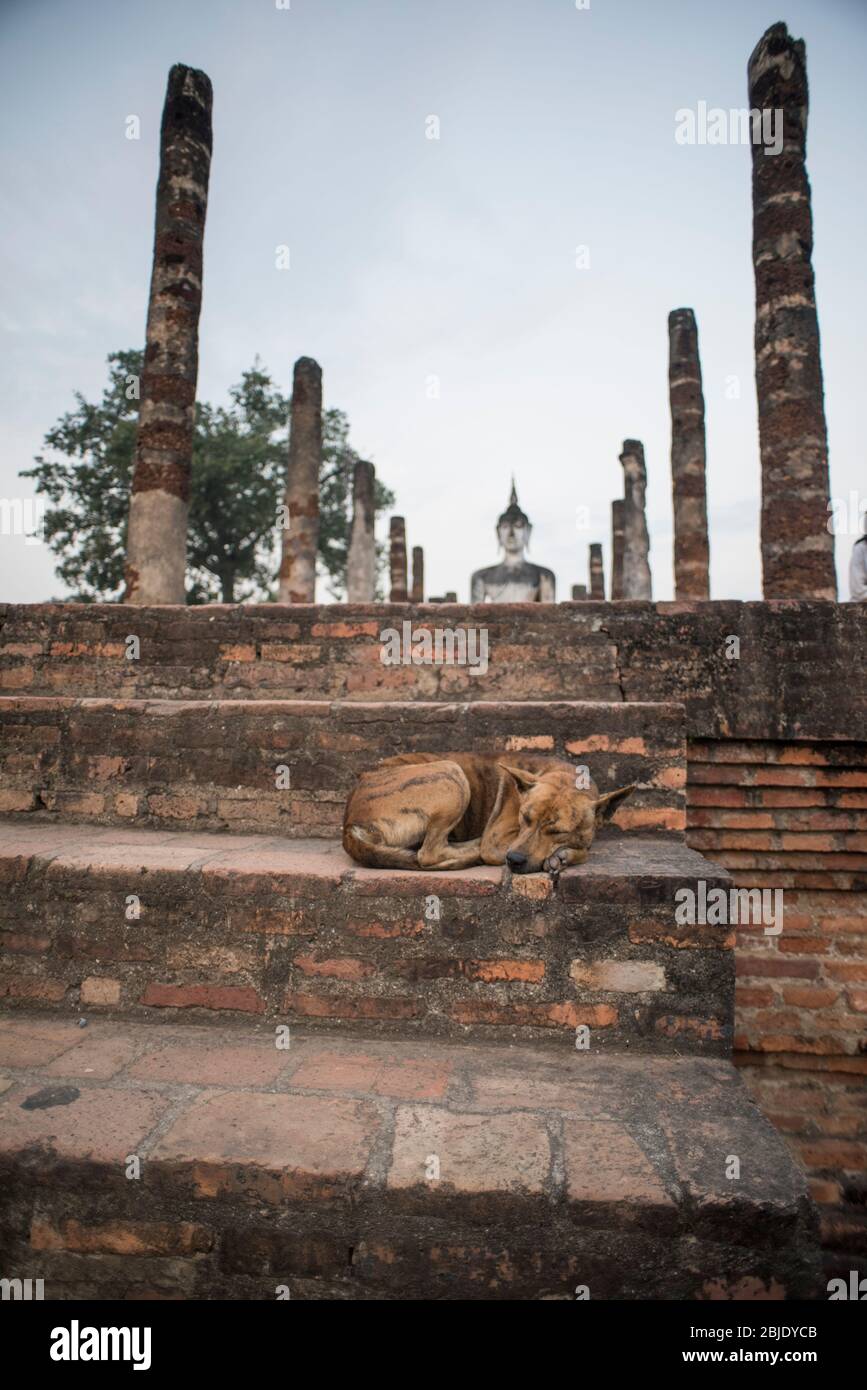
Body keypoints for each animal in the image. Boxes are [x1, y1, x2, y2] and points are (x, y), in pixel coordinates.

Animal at [341, 756, 633, 872]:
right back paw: (472, 850)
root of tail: (348, 824)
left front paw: (563, 854)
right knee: (429, 853)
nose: (514, 859)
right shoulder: (499, 839)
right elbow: (586, 851)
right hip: (452, 773)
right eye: (525, 818)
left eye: (557, 831)